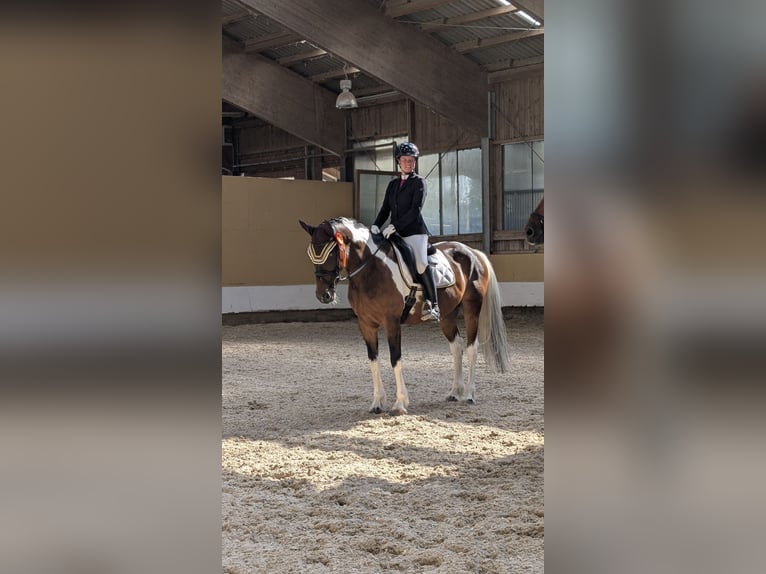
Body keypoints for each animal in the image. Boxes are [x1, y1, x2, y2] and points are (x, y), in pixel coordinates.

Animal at [299, 217, 511, 415]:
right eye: (310, 253)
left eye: (330, 252)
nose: (324, 295)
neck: (371, 270)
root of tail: (473, 252)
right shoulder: (366, 324)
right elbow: (373, 360)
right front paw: (377, 403)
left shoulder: (391, 322)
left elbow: (395, 358)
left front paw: (400, 403)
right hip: (447, 315)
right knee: (456, 346)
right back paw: (454, 392)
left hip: (471, 308)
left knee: (471, 348)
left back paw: (468, 394)